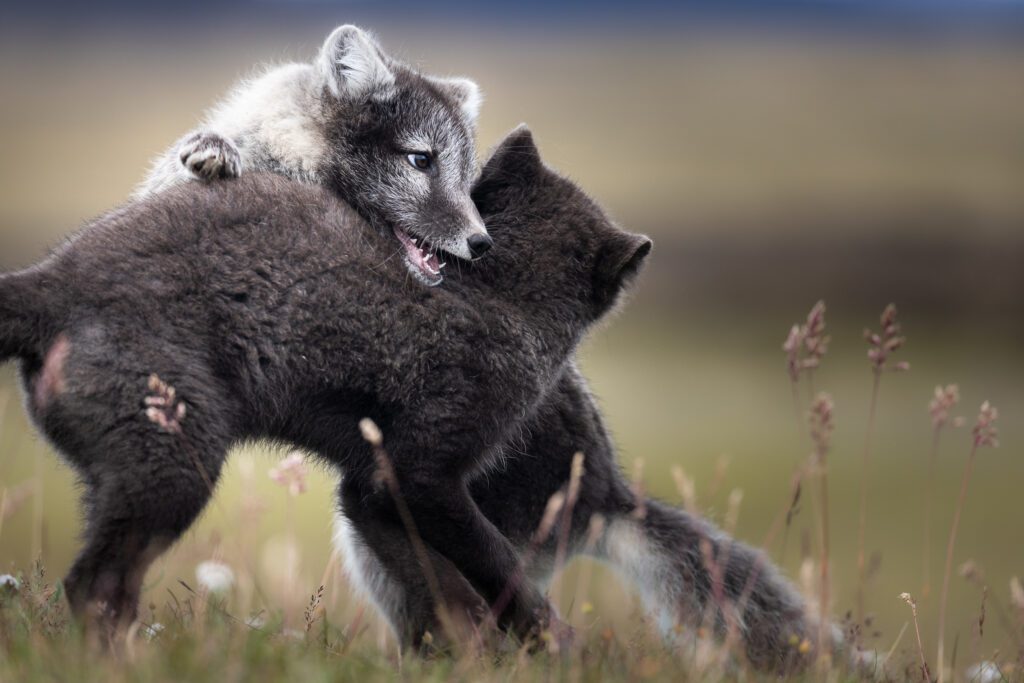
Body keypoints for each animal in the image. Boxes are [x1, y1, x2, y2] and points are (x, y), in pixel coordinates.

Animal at [0, 127, 651, 646]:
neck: (503, 293)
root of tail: (50, 282)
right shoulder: (422, 469)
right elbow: (493, 562)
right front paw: (551, 644)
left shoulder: (367, 487)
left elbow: (433, 583)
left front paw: (459, 650)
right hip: (172, 458)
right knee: (94, 586)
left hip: (117, 469)